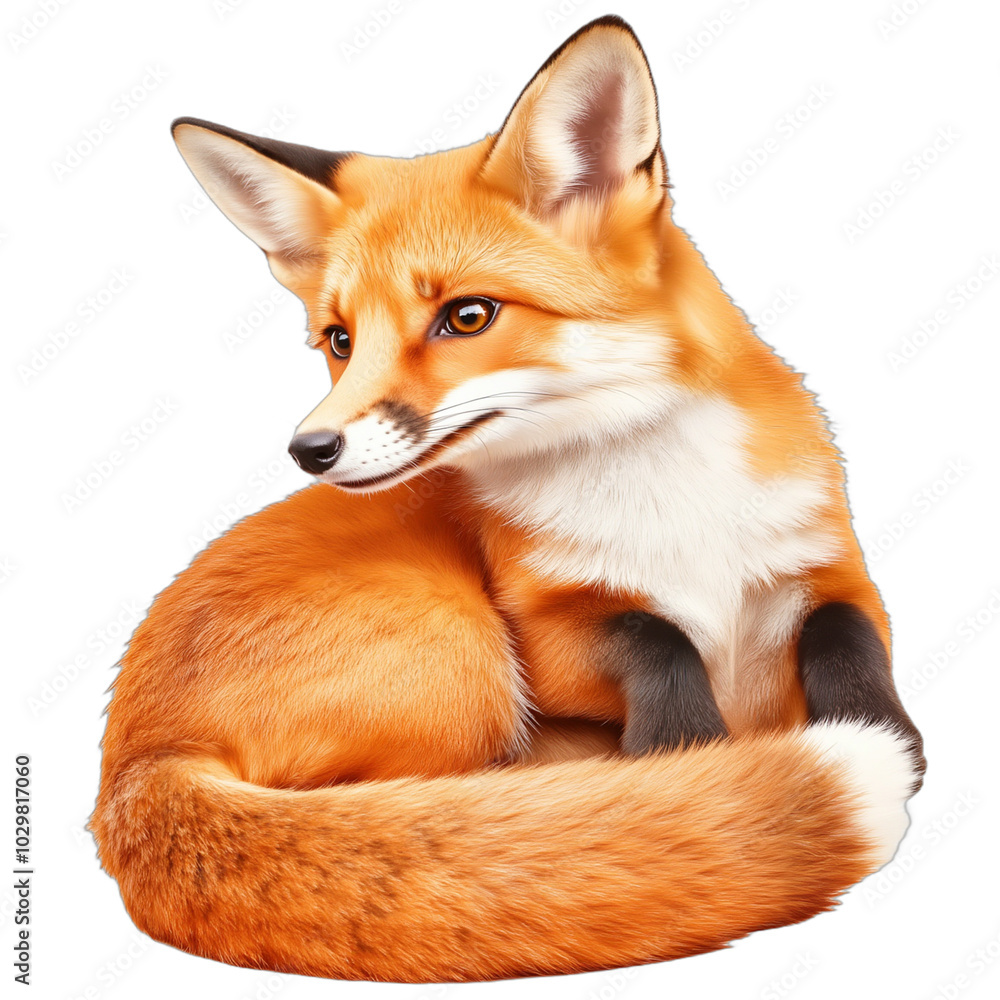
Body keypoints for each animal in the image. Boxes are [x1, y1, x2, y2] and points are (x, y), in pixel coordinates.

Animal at [90, 14, 925, 984]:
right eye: (339, 340)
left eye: (468, 316)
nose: (310, 450)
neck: (668, 505)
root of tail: (134, 764)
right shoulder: (545, 623)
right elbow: (655, 637)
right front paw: (686, 753)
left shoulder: (830, 564)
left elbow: (845, 634)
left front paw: (887, 732)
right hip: (467, 657)